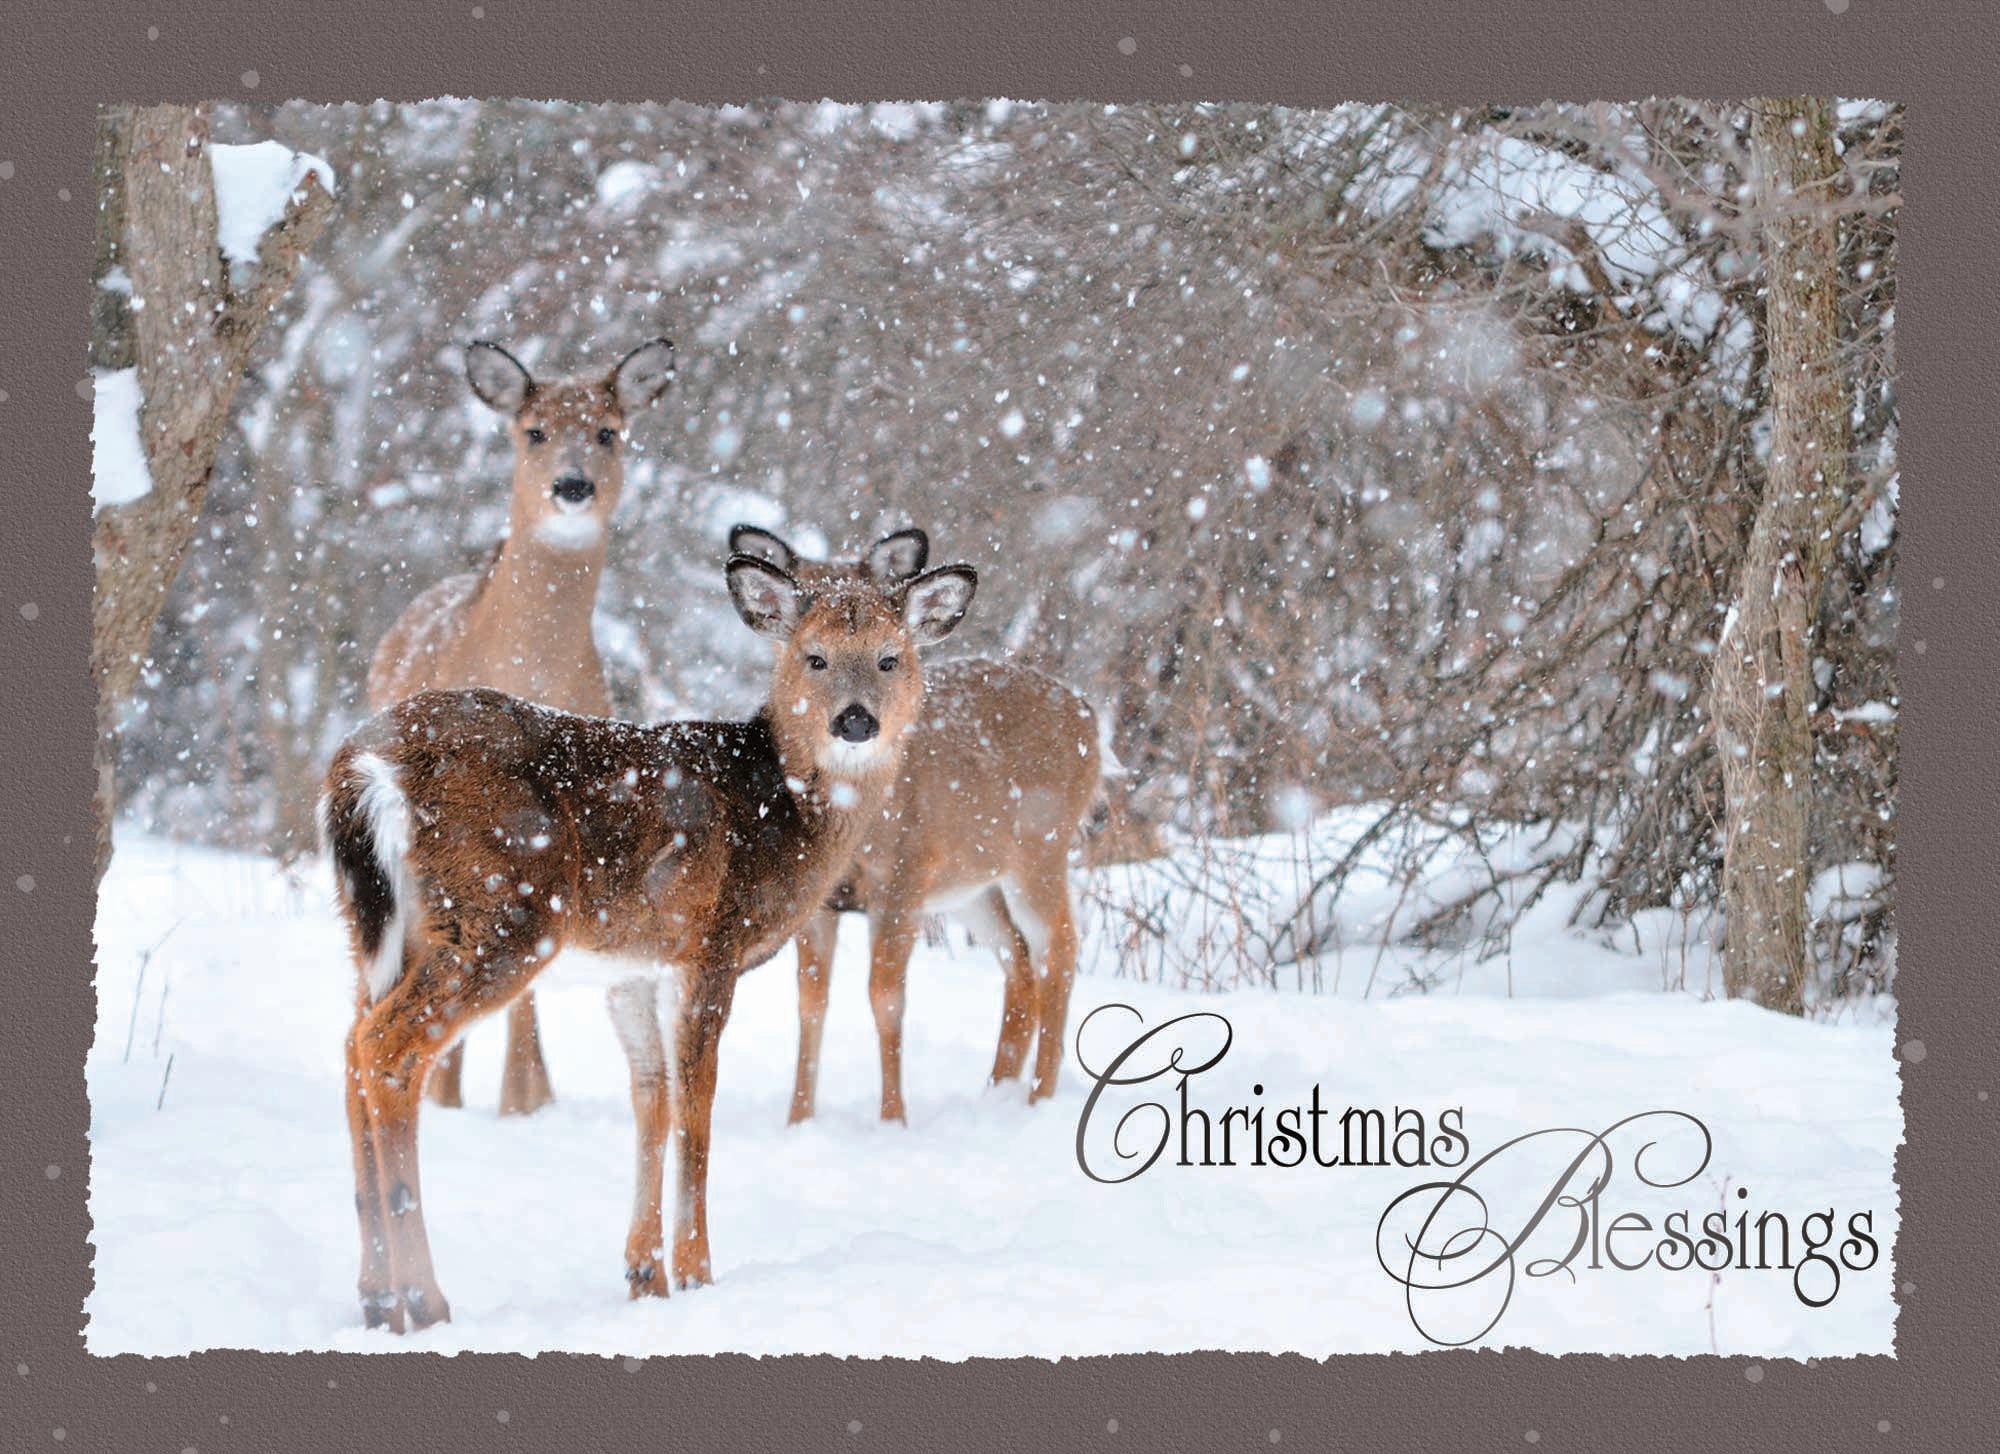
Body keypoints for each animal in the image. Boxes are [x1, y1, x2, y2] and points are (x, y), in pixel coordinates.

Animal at [322, 551, 978, 1331]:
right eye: (813, 656)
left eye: (889, 658)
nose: (856, 720)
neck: (779, 817)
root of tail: (366, 769)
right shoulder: (710, 946)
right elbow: (696, 1105)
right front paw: (697, 1273)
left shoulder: (634, 968)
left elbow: (651, 1098)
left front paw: (644, 1274)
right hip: (500, 918)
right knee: (387, 1050)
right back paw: (424, 1297)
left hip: (375, 926)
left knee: (350, 1043)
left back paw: (374, 1295)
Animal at [365, 336, 675, 1117]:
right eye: (533, 430)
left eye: (607, 431)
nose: (572, 485)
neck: (530, 666)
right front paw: (490, 1097)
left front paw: (526, 1099)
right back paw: (443, 1089)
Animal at [727, 524, 1102, 1126]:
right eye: (815, 658)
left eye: (888, 659)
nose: (856, 719)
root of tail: (1088, 712)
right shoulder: (819, 897)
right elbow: (811, 1001)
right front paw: (799, 1119)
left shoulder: (904, 875)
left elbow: (886, 996)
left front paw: (893, 1119)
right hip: (974, 884)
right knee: (1019, 961)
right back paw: (995, 1090)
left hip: (1042, 848)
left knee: (1059, 946)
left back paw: (1039, 1097)